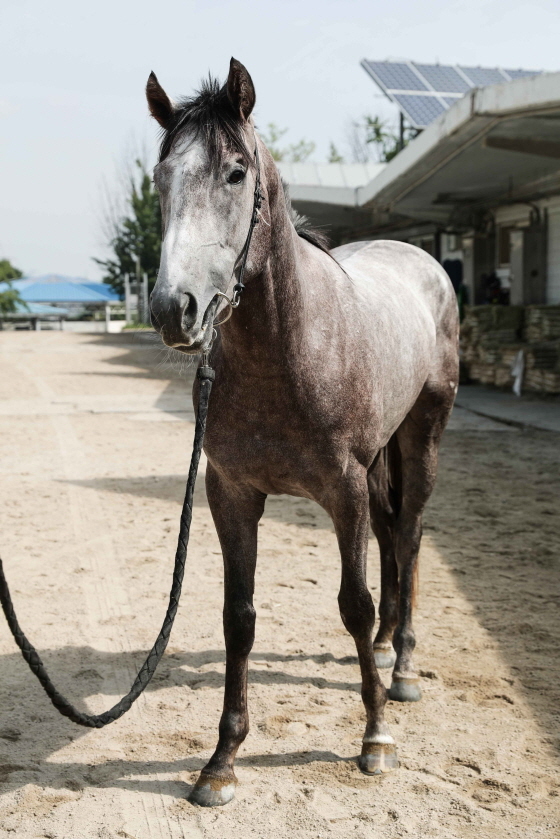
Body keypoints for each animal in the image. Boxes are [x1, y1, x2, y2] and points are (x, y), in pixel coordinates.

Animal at [147, 59, 458, 808]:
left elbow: (353, 602)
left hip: (421, 433)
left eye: (236, 172)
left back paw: (401, 667)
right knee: (390, 530)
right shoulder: (231, 494)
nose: (175, 310)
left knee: (408, 532)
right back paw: (386, 648)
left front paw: (374, 738)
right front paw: (222, 760)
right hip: (378, 461)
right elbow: (239, 616)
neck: (289, 348)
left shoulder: (342, 490)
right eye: (161, 177)